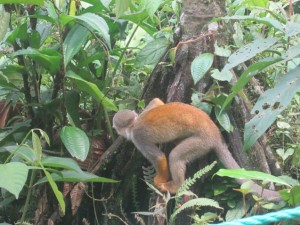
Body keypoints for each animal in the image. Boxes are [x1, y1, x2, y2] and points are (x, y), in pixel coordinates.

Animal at [112, 98, 282, 200]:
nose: (116, 132)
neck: (134, 123)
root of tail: (215, 133)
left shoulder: (138, 138)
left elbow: (159, 158)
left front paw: (159, 180)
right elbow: (157, 101)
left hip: (202, 142)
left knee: (175, 156)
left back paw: (175, 186)